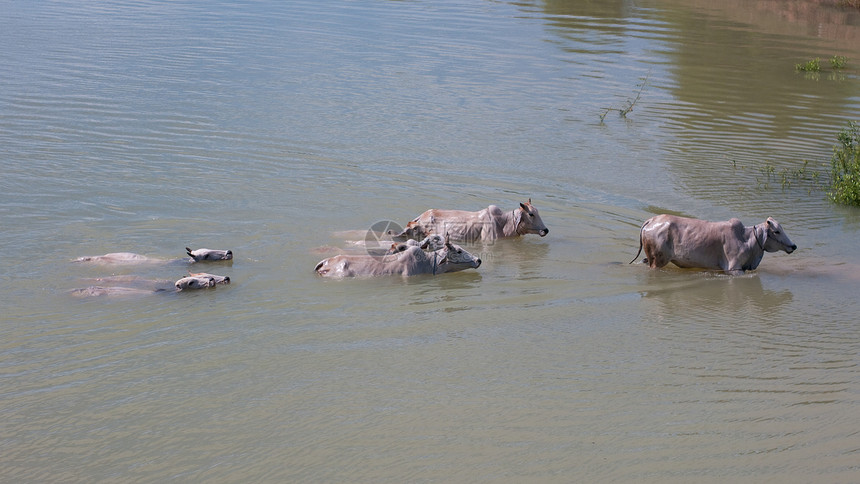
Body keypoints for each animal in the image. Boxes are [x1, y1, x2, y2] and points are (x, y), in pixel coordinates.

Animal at [628, 214, 796, 274]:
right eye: (776, 231)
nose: (793, 246)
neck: (747, 239)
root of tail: (652, 220)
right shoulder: (734, 269)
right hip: (657, 261)